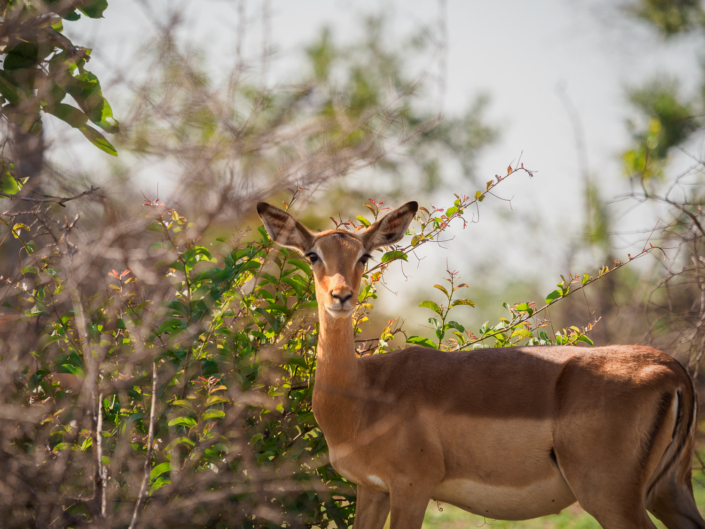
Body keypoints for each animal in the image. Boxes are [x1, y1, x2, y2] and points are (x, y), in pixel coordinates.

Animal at [257, 200, 705, 529]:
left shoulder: (411, 488)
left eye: (364, 256)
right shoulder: (372, 489)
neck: (361, 396)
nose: (341, 296)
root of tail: (671, 370)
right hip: (668, 491)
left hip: (611, 499)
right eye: (313, 254)